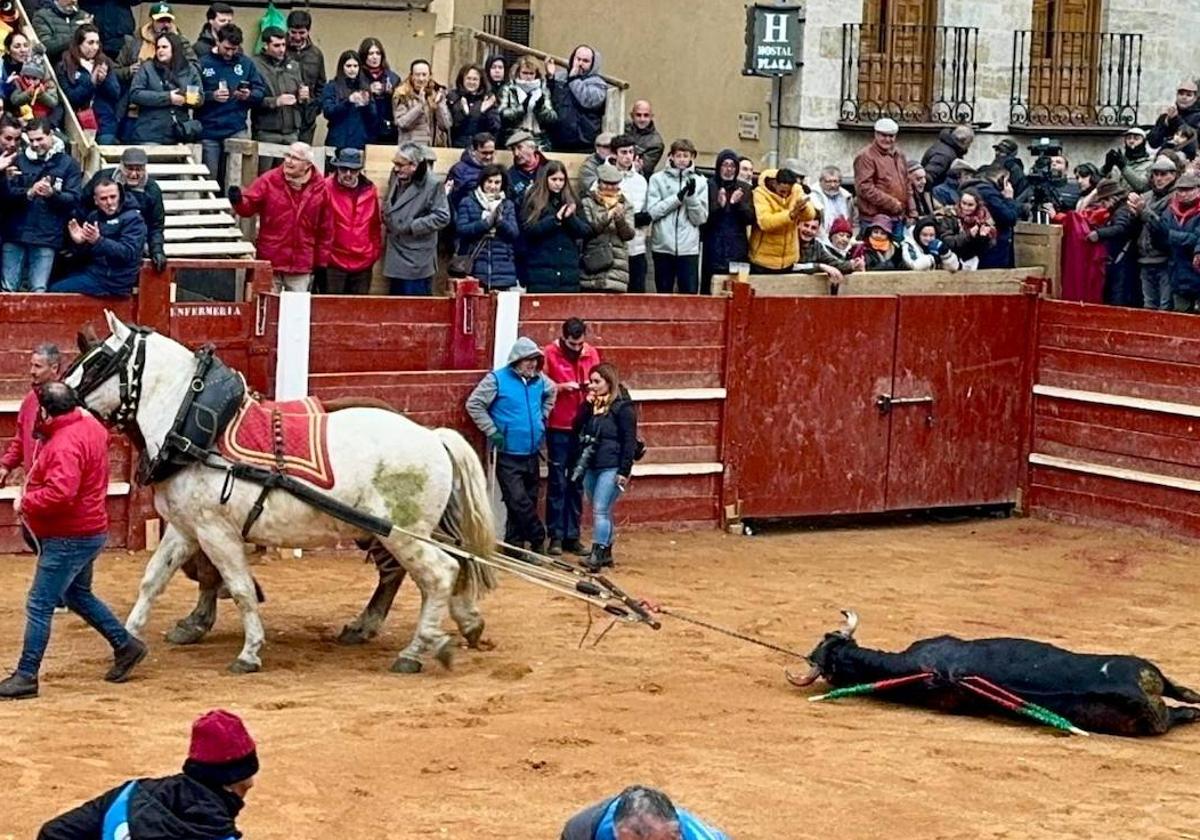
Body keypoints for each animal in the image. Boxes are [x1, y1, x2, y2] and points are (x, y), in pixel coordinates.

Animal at [64, 312, 496, 672]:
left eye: (97, 362)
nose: (57, 399)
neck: (196, 432)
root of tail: (432, 436)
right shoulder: (186, 529)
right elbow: (153, 580)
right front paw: (130, 639)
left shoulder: (217, 533)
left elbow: (239, 588)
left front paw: (249, 651)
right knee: (427, 573)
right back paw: (444, 627)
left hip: (403, 534)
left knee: (437, 574)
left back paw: (414, 650)